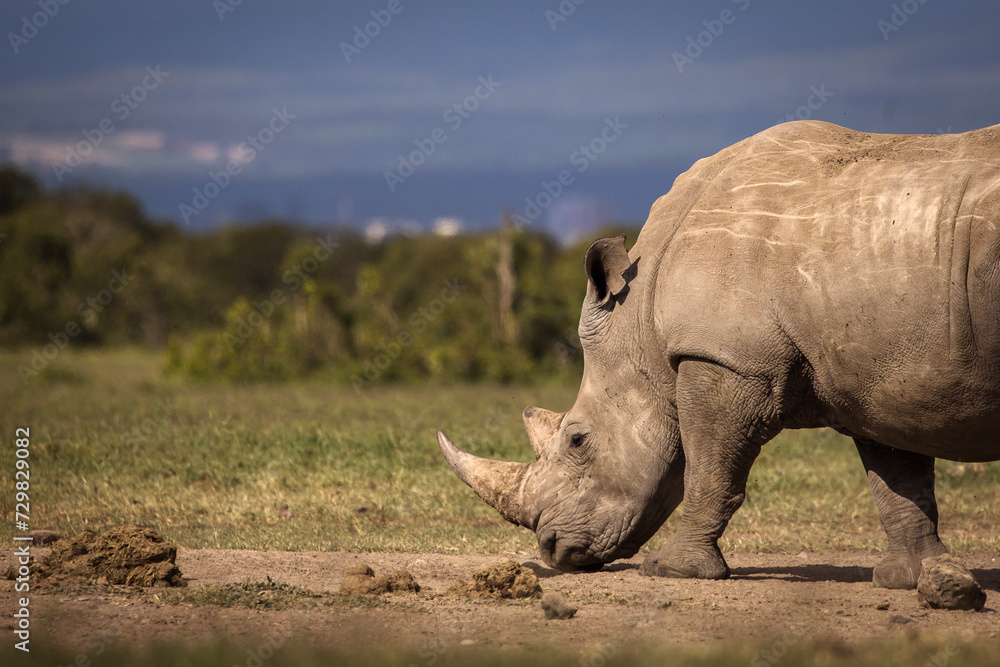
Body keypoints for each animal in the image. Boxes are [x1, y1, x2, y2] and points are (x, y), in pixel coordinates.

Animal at [438, 120, 1000, 589]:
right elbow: (898, 478)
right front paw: (913, 578)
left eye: (577, 440)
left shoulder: (727, 360)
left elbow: (709, 469)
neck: (640, 321)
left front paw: (673, 570)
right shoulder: (875, 369)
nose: (552, 550)